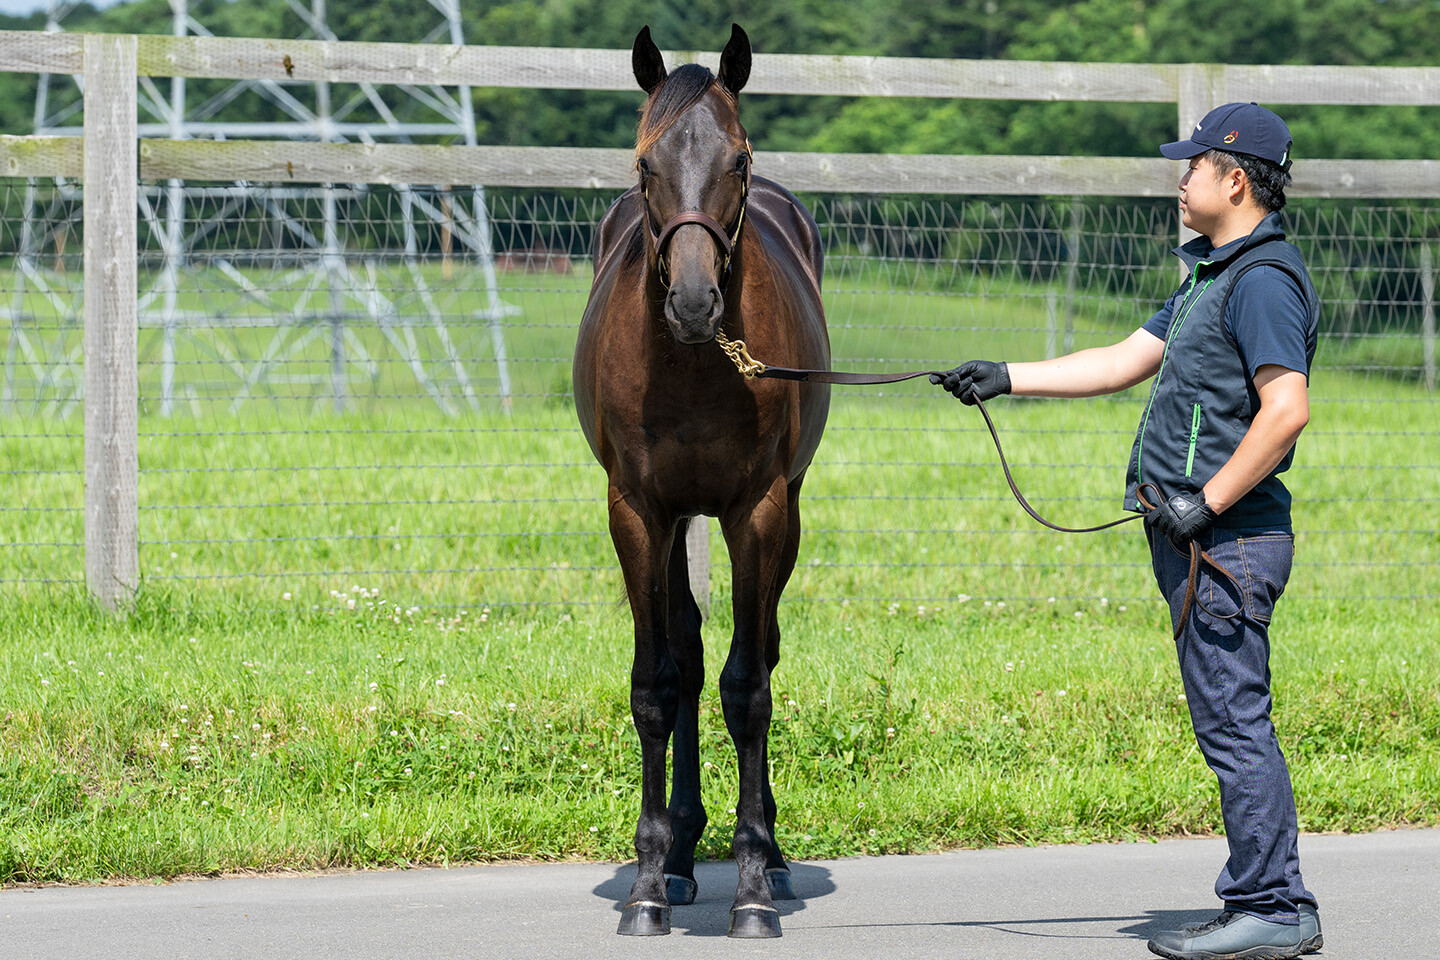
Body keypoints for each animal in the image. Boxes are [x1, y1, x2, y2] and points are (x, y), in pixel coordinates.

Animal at [572, 23, 831, 940]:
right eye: (645, 163)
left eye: (740, 160)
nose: (692, 303)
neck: (690, 367)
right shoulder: (639, 513)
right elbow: (657, 684)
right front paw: (648, 884)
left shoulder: (758, 511)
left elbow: (748, 688)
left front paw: (753, 886)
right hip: (680, 519)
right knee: (683, 653)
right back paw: (681, 854)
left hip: (777, 514)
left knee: (758, 653)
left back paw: (769, 858)